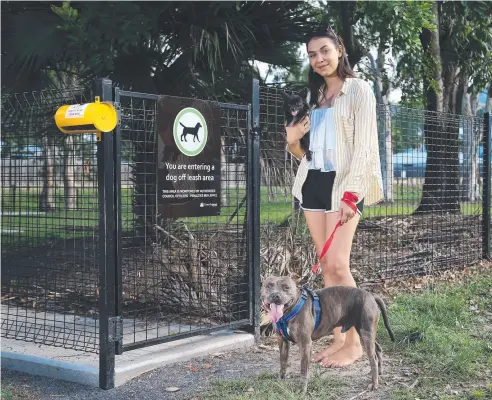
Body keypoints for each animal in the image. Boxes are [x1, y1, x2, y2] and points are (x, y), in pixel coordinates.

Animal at [262, 276, 396, 394]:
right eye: (268, 286)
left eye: (286, 287)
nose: (275, 296)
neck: (287, 313)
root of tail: (371, 295)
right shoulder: (282, 341)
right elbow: (282, 361)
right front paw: (281, 378)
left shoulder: (305, 344)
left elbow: (303, 370)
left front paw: (302, 390)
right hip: (366, 333)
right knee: (378, 349)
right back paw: (378, 372)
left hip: (366, 332)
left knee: (373, 358)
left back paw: (374, 384)